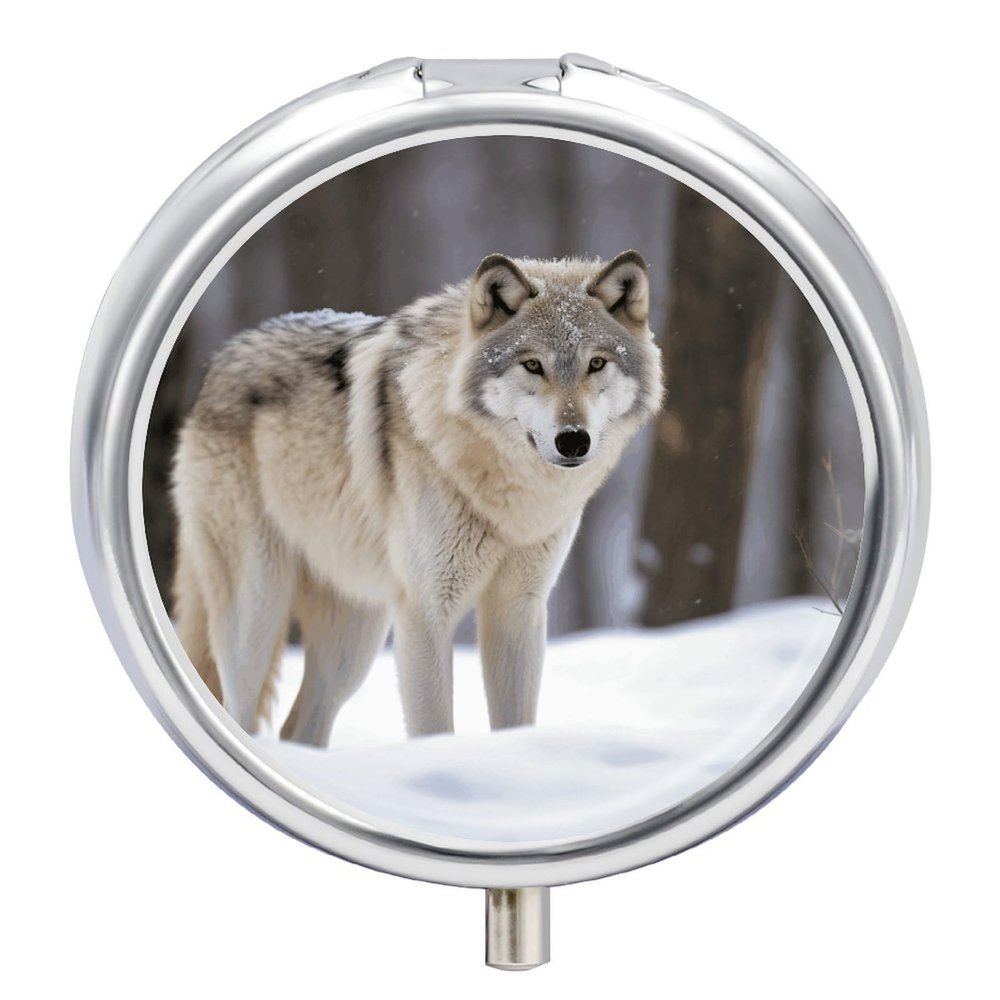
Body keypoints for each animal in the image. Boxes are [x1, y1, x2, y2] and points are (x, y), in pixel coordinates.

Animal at [171, 251, 663, 744]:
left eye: (596, 363)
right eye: (532, 365)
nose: (573, 440)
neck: (507, 498)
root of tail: (215, 368)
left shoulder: (518, 610)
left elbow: (516, 722)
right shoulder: (427, 612)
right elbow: (434, 727)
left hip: (352, 645)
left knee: (298, 728)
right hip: (258, 614)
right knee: (239, 710)